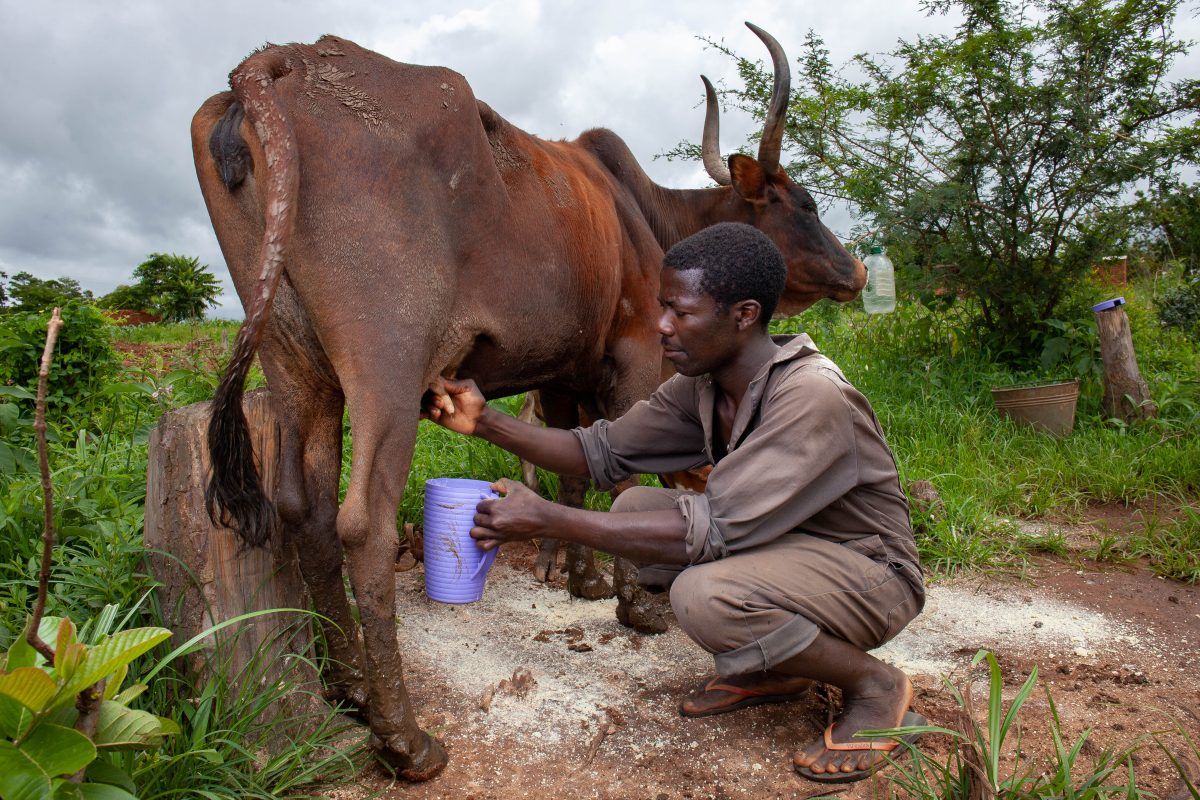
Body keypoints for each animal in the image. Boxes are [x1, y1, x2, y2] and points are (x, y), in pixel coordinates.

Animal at [193, 24, 864, 780]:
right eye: (805, 205)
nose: (857, 270)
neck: (642, 216)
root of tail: (282, 59)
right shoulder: (638, 350)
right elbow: (623, 479)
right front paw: (635, 607)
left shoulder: (562, 375)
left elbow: (577, 469)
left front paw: (582, 580)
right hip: (386, 364)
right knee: (363, 524)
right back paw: (405, 738)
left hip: (295, 367)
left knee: (302, 511)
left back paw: (351, 690)